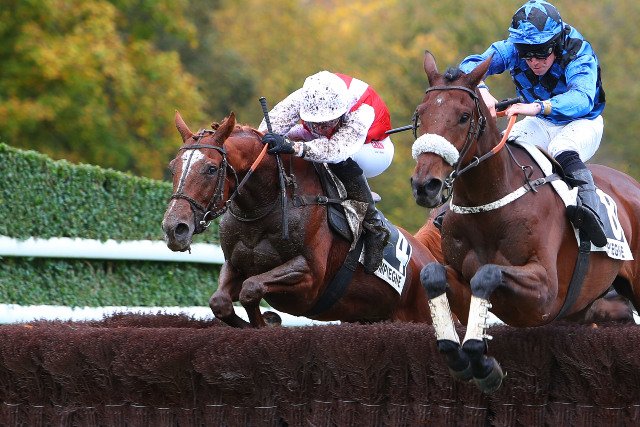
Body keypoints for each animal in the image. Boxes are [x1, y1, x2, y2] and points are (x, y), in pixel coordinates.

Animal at [162, 111, 439, 328]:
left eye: (211, 169)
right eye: (173, 166)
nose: (174, 228)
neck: (266, 206)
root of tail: (429, 257)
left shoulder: (310, 280)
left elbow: (251, 289)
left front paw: (267, 322)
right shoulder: (234, 265)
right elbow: (220, 302)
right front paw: (263, 322)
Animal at [409, 51, 640, 393]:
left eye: (463, 116)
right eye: (420, 115)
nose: (425, 185)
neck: (488, 207)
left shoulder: (545, 291)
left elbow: (486, 274)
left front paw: (481, 359)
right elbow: (433, 275)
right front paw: (457, 353)